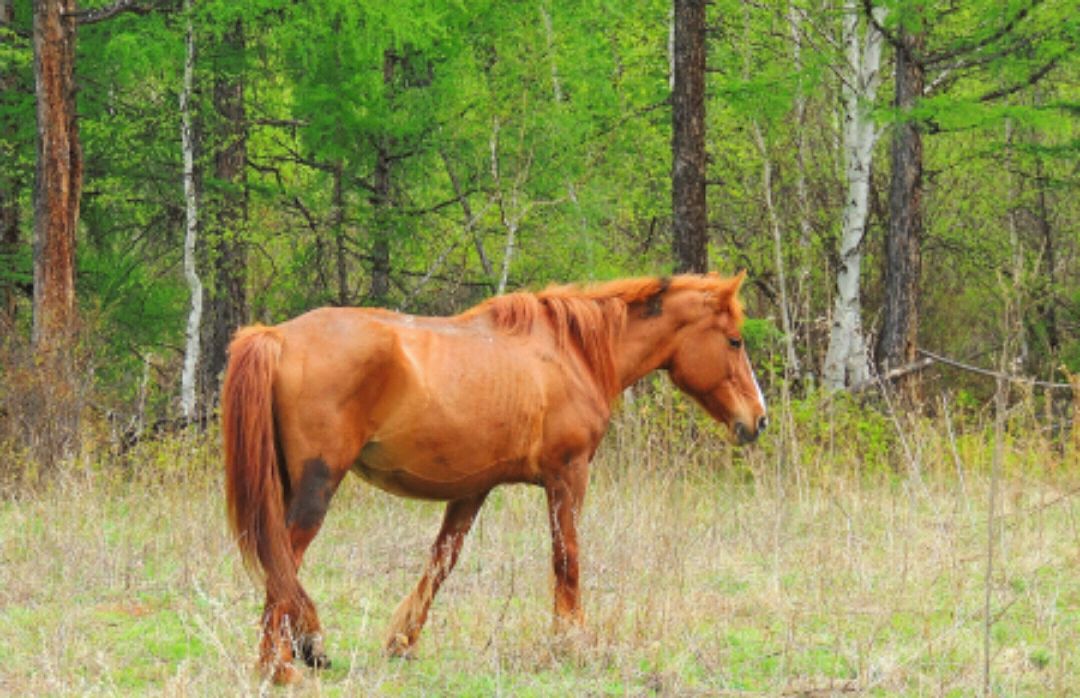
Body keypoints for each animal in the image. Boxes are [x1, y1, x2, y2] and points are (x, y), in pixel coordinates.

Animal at [223, 272, 773, 682]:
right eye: (734, 340)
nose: (758, 420)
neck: (571, 353)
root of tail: (277, 336)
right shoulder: (568, 476)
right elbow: (566, 558)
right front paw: (570, 641)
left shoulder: (472, 490)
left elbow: (442, 562)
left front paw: (402, 641)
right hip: (316, 488)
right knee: (283, 560)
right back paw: (281, 665)